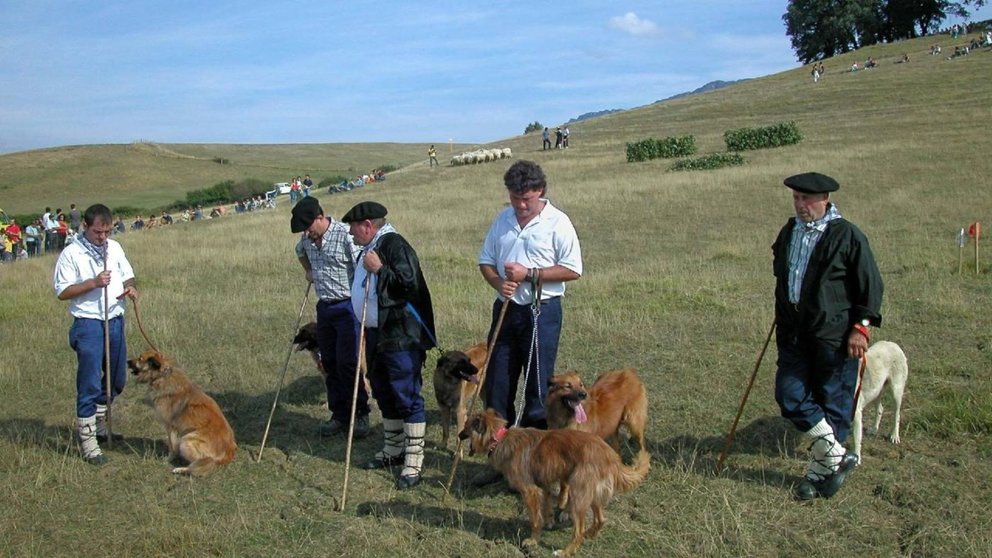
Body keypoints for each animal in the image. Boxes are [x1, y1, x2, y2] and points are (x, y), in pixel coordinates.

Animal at [460, 410, 648, 556]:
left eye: (466, 427)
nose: (459, 435)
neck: (499, 438)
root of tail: (611, 457)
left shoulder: (530, 490)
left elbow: (535, 519)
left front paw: (532, 541)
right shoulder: (544, 486)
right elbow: (546, 507)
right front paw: (549, 522)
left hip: (579, 496)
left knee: (578, 531)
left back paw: (566, 551)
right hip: (592, 494)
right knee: (600, 519)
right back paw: (589, 535)